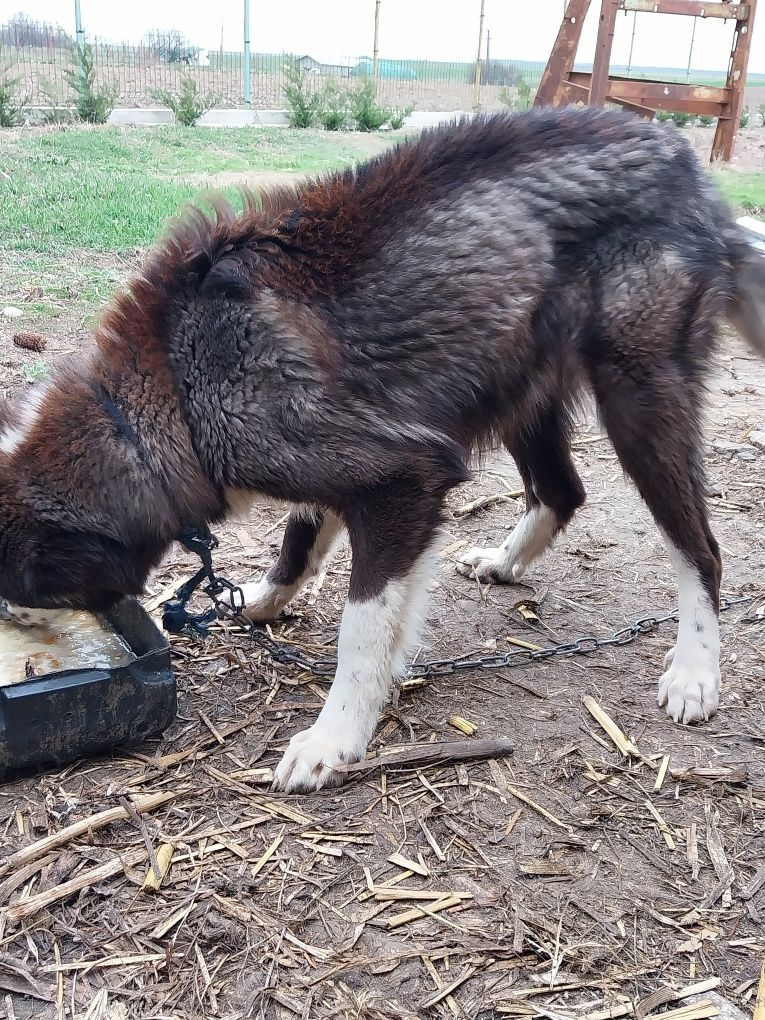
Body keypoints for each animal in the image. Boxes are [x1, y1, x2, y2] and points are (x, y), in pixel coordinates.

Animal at [1, 107, 765, 791]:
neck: (173, 388)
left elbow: (362, 627)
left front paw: (334, 736)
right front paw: (258, 603)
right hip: (517, 386)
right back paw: (505, 562)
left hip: (638, 396)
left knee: (700, 550)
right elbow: (301, 549)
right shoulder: (344, 472)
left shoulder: (401, 480)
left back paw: (694, 671)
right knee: (562, 491)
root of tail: (685, 165)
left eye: (16, 583)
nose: (10, 619)